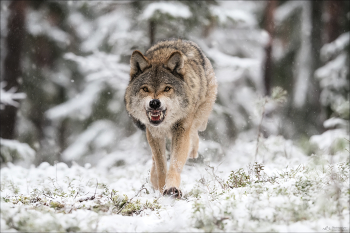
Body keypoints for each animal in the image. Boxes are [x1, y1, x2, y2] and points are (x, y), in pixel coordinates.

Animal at [123, 38, 216, 198]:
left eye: (167, 88)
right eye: (145, 89)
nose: (154, 103)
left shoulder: (181, 129)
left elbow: (175, 164)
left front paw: (172, 188)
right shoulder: (154, 134)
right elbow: (161, 167)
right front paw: (161, 189)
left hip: (200, 117)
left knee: (194, 134)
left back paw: (193, 151)